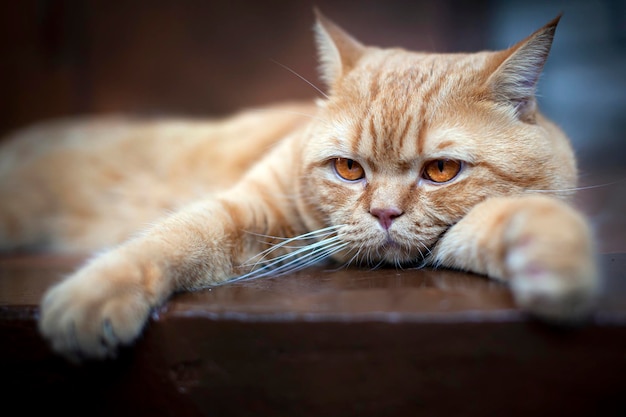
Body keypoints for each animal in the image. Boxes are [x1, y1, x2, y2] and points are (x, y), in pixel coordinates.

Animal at [0, 11, 596, 360]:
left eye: (442, 171)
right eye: (348, 169)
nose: (384, 215)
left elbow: (518, 221)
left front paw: (556, 258)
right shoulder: (245, 208)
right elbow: (171, 239)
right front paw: (93, 294)